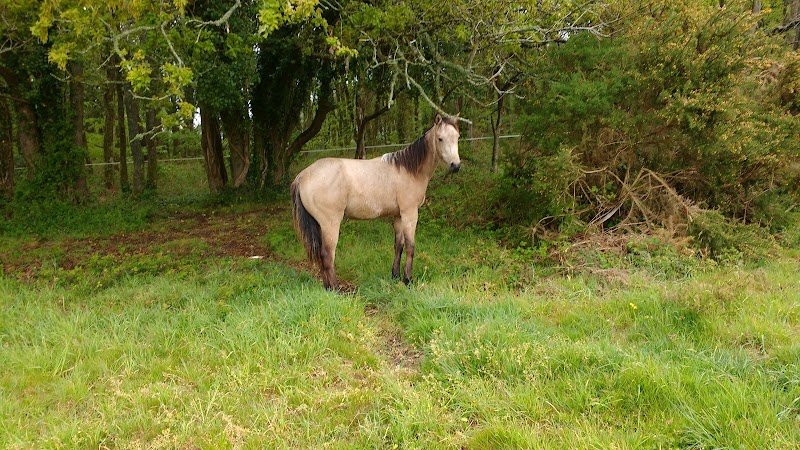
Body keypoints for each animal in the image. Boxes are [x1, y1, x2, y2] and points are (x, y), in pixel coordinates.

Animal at [291, 114, 461, 290]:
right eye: (440, 138)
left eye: (457, 137)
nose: (455, 166)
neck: (409, 169)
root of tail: (302, 176)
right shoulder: (410, 214)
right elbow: (410, 247)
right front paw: (408, 279)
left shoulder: (398, 216)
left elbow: (398, 246)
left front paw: (395, 276)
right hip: (330, 223)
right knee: (327, 254)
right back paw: (336, 288)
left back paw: (328, 287)